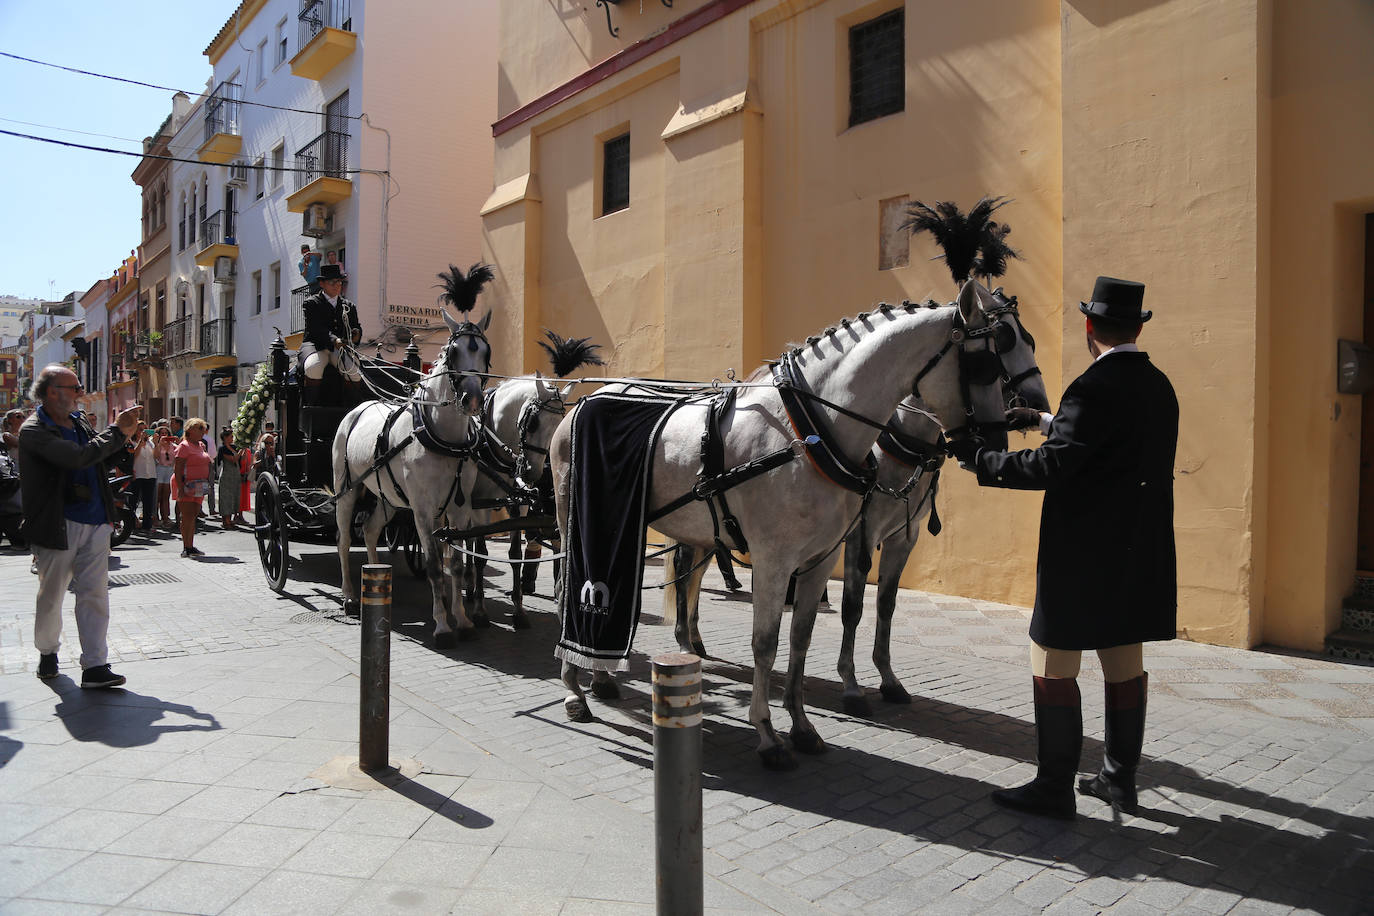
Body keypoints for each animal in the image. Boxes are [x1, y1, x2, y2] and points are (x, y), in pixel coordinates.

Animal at [332, 307, 494, 645]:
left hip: (387, 497)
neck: (444, 438)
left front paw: (462, 619)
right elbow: (433, 565)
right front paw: (442, 624)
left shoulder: (459, 508)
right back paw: (350, 596)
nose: (472, 399)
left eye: (486, 352)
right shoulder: (422, 510)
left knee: (370, 530)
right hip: (347, 489)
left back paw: (374, 582)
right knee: (343, 539)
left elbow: (456, 565)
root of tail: (358, 408)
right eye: (454, 352)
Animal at [552, 282, 1033, 769]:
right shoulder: (775, 560)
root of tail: (581, 404)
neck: (808, 431)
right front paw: (767, 732)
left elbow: (802, 636)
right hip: (577, 521)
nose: (998, 441)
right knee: (566, 591)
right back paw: (575, 689)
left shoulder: (824, 557)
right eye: (989, 360)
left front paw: (802, 725)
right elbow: (766, 642)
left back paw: (608, 675)